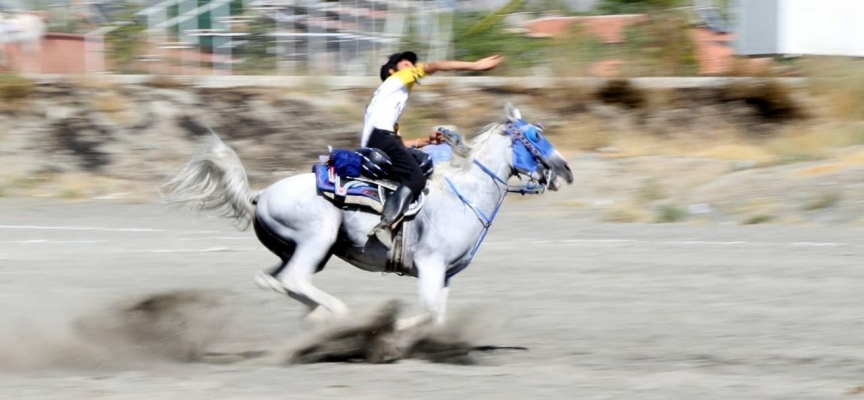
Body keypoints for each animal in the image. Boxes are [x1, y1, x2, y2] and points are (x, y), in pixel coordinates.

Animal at [162, 104, 572, 330]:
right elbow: (428, 312)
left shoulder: (445, 274)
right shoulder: (430, 264)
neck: (464, 194)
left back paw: (317, 319)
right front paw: (392, 329)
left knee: (273, 280)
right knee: (293, 279)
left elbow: (436, 315)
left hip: (301, 251)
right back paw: (340, 317)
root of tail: (258, 195)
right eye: (535, 135)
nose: (565, 170)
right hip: (317, 239)